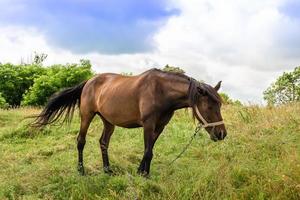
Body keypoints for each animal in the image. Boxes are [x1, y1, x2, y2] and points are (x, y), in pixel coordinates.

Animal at [32, 68, 226, 176]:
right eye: (209, 106)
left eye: (220, 104)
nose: (222, 134)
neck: (161, 91)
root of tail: (89, 81)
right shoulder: (148, 125)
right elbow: (148, 151)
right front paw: (143, 174)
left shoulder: (159, 127)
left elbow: (150, 150)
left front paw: (143, 172)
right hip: (87, 115)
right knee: (81, 141)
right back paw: (81, 170)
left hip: (108, 121)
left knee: (103, 142)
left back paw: (107, 170)